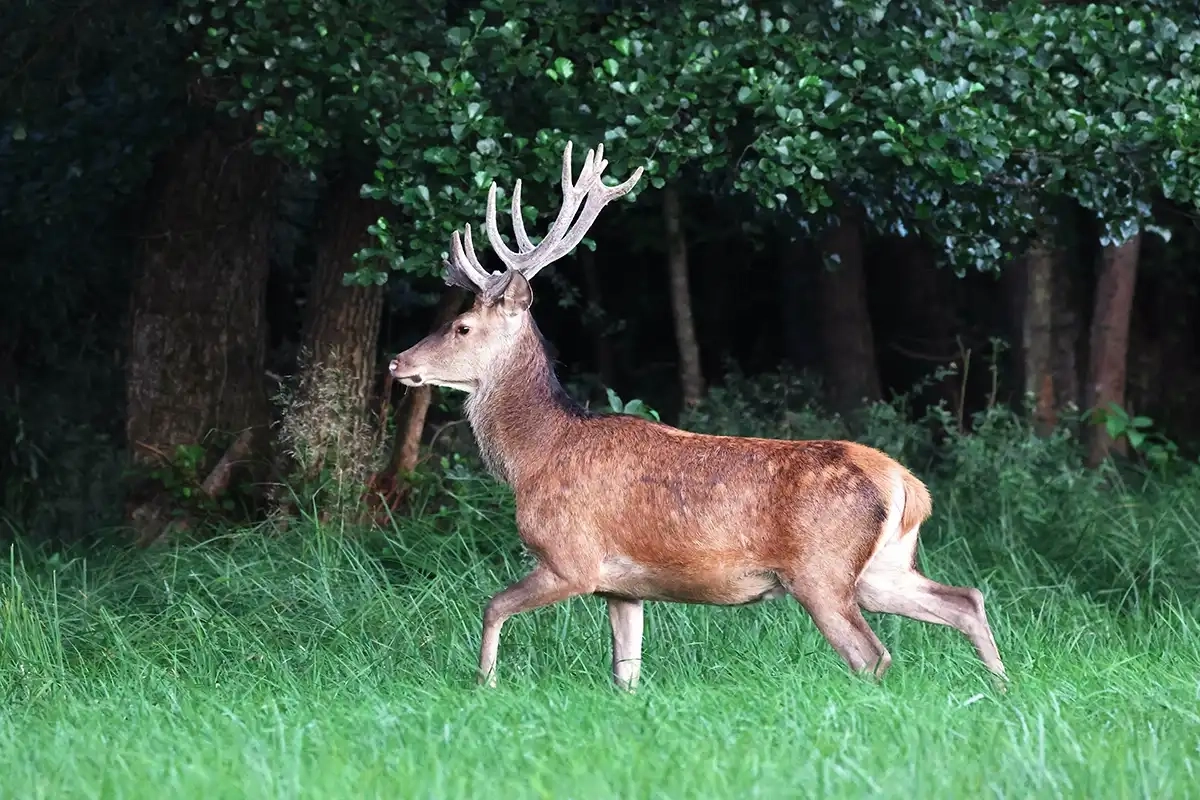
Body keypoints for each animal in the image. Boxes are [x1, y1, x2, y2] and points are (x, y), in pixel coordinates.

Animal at [389, 141, 1008, 692]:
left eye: (461, 327)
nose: (398, 361)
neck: (533, 457)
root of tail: (907, 484)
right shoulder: (623, 588)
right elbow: (625, 674)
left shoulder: (573, 559)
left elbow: (492, 605)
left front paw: (485, 685)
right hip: (884, 568)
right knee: (966, 599)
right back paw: (1001, 689)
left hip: (822, 572)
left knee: (873, 655)